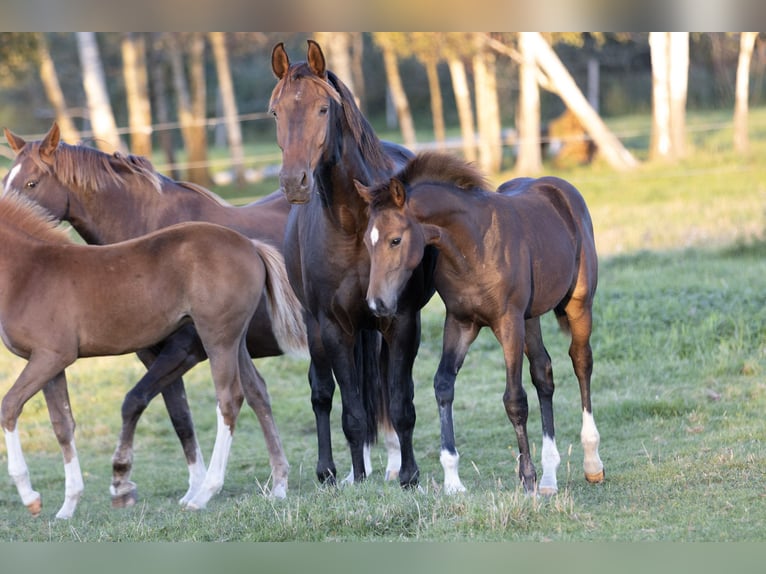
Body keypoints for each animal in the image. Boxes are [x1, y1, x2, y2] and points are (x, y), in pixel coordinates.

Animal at [3, 123, 308, 507]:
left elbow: (132, 401)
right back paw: (275, 484)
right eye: (6, 179)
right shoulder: (149, 353)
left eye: (31, 183)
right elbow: (178, 415)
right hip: (232, 340)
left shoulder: (183, 350)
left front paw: (121, 480)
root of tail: (250, 246)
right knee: (255, 394)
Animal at [269, 40, 437, 487]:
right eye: (275, 112)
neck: (355, 223)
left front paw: (409, 476)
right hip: (317, 327)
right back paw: (331, 471)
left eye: (322, 108)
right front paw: (357, 478)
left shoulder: (401, 319)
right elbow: (351, 412)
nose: (294, 181)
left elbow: (401, 403)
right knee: (324, 394)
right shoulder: (333, 325)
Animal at [355, 151, 605, 495]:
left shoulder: (508, 322)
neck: (474, 248)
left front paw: (527, 477)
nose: (376, 304)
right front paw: (452, 479)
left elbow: (514, 399)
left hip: (578, 305)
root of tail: (561, 189)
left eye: (395, 240)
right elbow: (443, 385)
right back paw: (550, 478)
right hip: (530, 318)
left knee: (581, 363)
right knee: (543, 372)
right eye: (368, 242)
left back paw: (592, 464)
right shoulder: (460, 322)